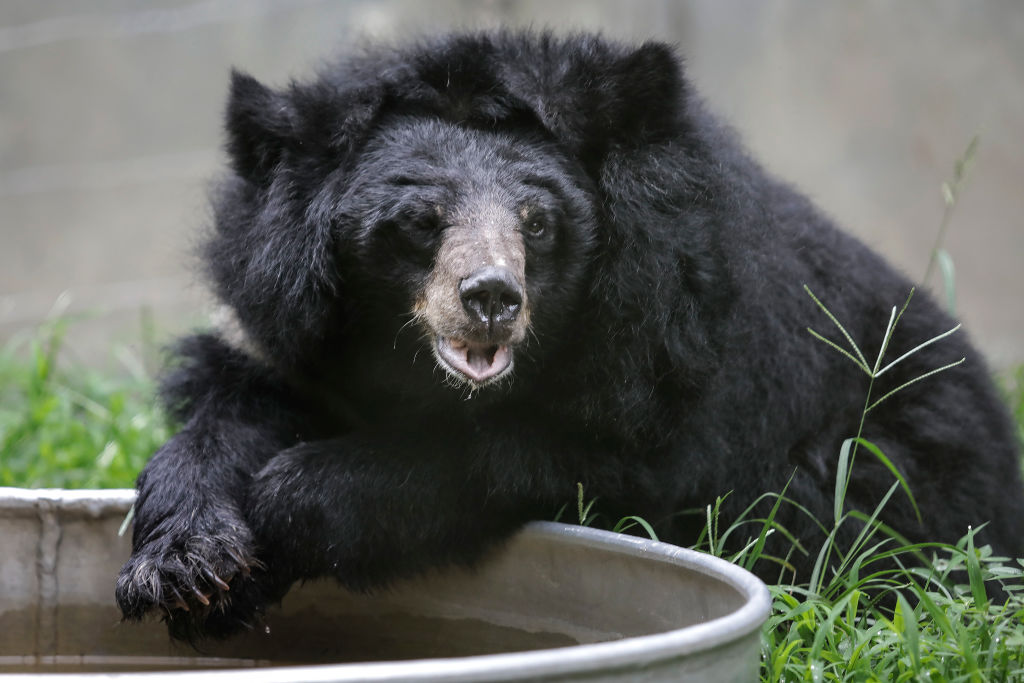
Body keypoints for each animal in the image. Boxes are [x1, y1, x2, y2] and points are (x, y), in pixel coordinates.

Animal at [116, 30, 1019, 643]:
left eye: (538, 222)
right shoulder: (303, 342)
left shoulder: (677, 365)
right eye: (421, 222)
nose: (490, 297)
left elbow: (537, 457)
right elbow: (233, 406)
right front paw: (189, 567)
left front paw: (293, 498)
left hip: (900, 464)